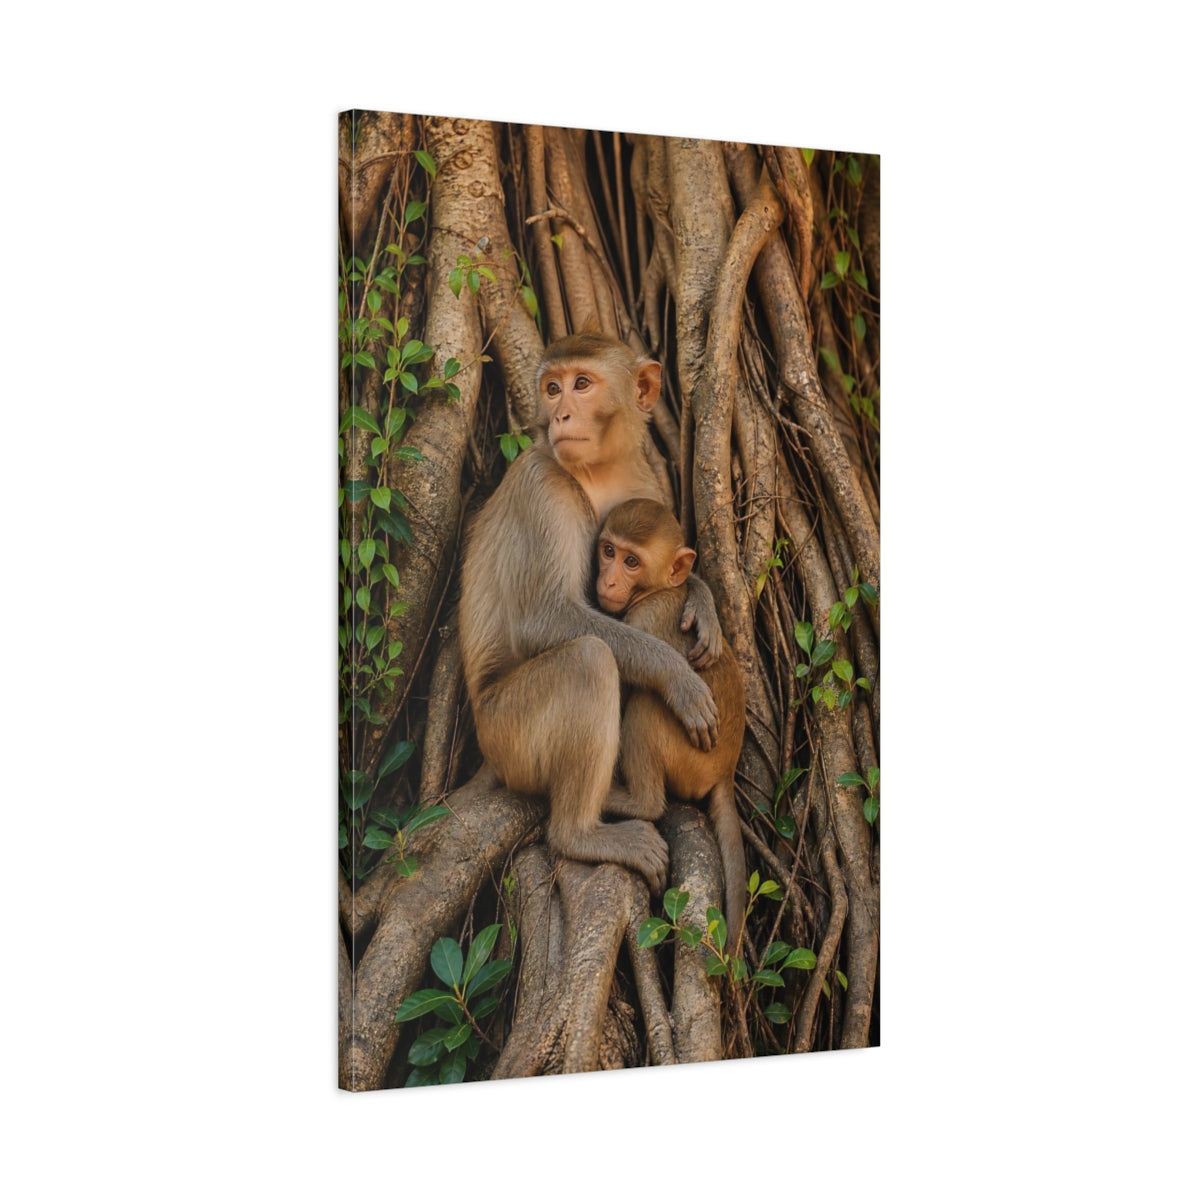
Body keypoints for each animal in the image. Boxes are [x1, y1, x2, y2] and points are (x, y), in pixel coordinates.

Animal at [458, 333, 723, 895]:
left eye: (581, 384)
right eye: (552, 388)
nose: (559, 414)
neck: (597, 473)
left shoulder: (647, 479)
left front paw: (701, 601)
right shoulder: (542, 485)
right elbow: (545, 620)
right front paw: (676, 677)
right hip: (506, 733)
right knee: (588, 660)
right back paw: (581, 834)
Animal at [595, 498, 748, 950]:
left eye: (631, 561)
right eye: (608, 551)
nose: (608, 580)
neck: (660, 590)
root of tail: (725, 771)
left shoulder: (642, 618)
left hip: (690, 757)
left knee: (647, 703)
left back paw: (636, 803)